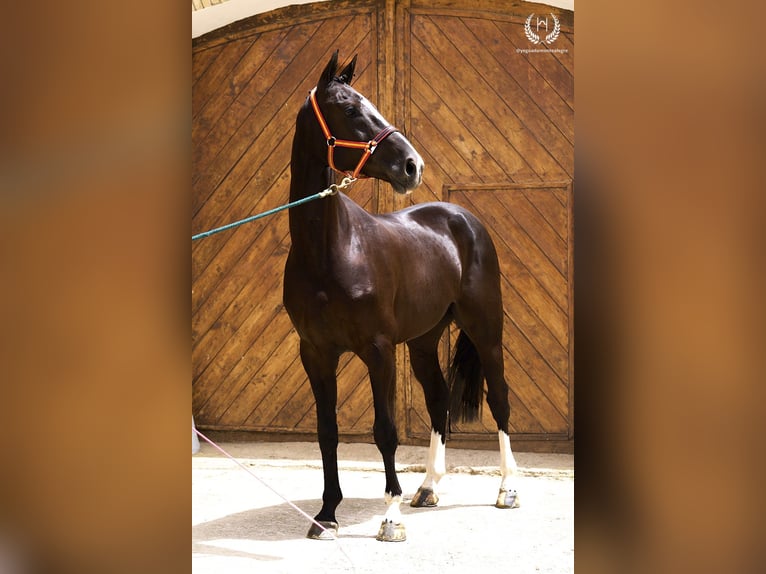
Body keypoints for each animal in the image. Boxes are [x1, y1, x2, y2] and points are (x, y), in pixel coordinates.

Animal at [282, 51, 520, 544]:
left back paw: (507, 489)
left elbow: (386, 430)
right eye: (350, 109)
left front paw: (390, 517)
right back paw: (427, 488)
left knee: (500, 399)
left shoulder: (379, 350)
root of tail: (463, 219)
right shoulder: (315, 352)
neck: (331, 250)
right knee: (438, 400)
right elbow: (327, 432)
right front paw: (327, 515)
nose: (413, 166)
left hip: (486, 330)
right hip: (424, 341)